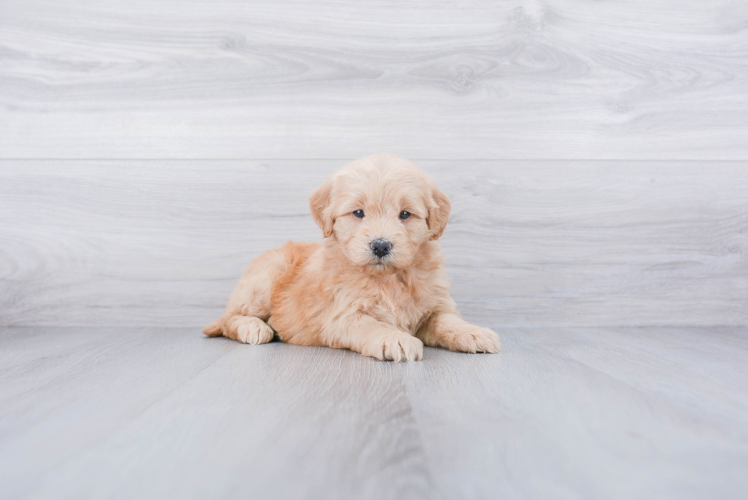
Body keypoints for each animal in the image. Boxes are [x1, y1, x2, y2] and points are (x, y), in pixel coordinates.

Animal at [202, 152, 500, 360]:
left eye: (405, 214)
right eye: (358, 213)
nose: (380, 246)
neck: (388, 280)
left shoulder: (435, 305)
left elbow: (448, 320)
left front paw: (473, 332)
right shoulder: (341, 315)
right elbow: (371, 325)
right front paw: (396, 339)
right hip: (266, 277)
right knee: (229, 318)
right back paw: (254, 327)